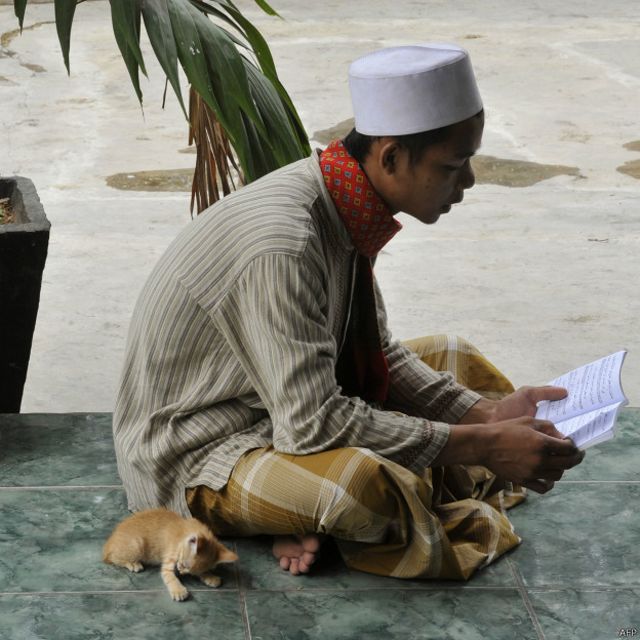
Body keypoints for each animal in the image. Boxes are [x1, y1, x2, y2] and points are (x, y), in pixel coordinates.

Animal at [104, 508, 239, 604]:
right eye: (183, 564)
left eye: (189, 571)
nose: (181, 572)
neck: (184, 535)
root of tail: (109, 543)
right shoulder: (169, 559)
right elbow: (170, 577)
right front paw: (178, 590)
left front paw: (210, 576)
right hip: (137, 544)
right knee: (112, 558)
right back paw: (133, 564)